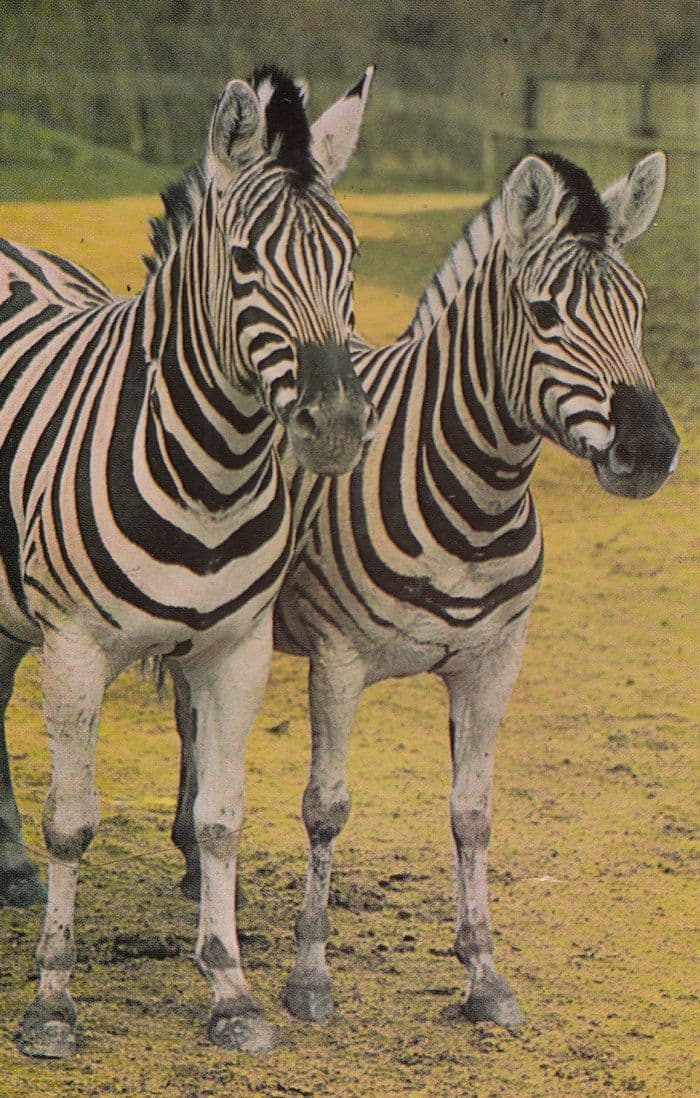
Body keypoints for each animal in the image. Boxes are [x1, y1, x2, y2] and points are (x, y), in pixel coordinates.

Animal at [1, 64, 376, 1059]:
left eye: (350, 259)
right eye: (245, 262)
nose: (336, 428)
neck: (209, 472)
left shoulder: (234, 650)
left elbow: (219, 820)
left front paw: (231, 991)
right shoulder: (75, 646)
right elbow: (72, 822)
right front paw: (52, 1002)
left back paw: (6, 863)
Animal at [169, 151, 680, 1029]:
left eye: (638, 307)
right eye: (545, 313)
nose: (651, 449)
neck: (476, 497)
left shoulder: (493, 660)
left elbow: (472, 813)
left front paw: (484, 974)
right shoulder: (337, 658)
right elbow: (326, 808)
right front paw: (310, 975)